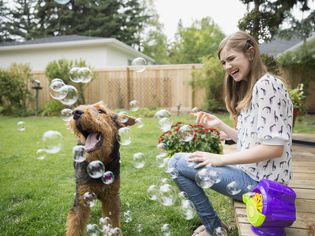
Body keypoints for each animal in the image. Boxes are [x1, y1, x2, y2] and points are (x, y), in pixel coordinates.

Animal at [66, 101, 135, 236]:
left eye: (101, 111)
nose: (76, 112)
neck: (98, 164)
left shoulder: (111, 198)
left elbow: (113, 223)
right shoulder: (82, 198)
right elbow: (75, 225)